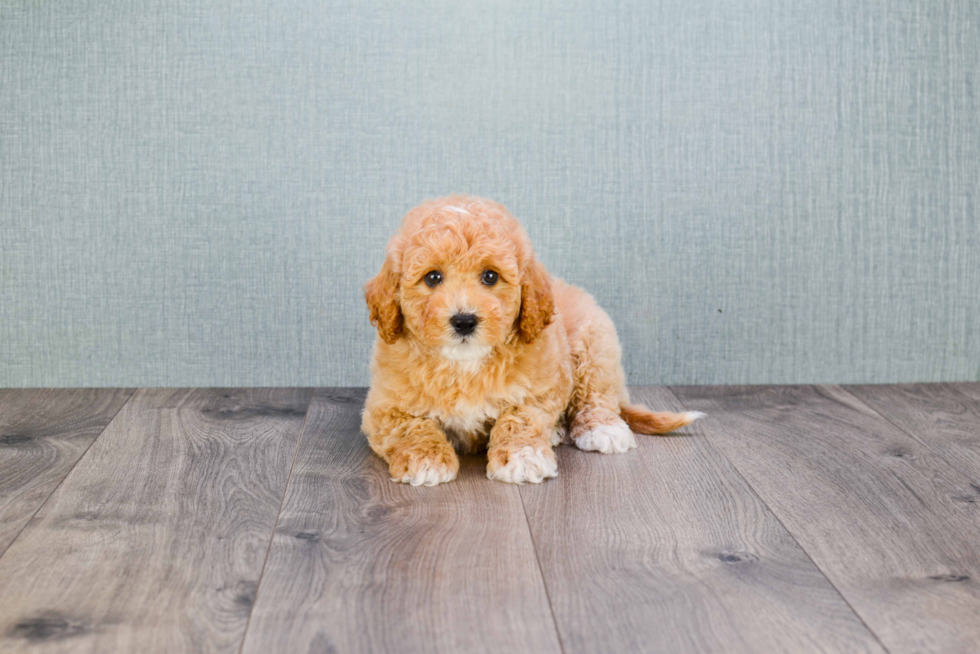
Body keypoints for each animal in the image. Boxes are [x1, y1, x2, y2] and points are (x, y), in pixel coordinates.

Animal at [364, 195, 700, 486]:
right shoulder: (383, 406)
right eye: (432, 277)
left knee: (597, 395)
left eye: (490, 276)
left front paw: (522, 457)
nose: (464, 320)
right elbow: (410, 426)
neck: (465, 363)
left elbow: (521, 418)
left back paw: (603, 429)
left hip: (595, 344)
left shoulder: (539, 389)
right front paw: (425, 459)